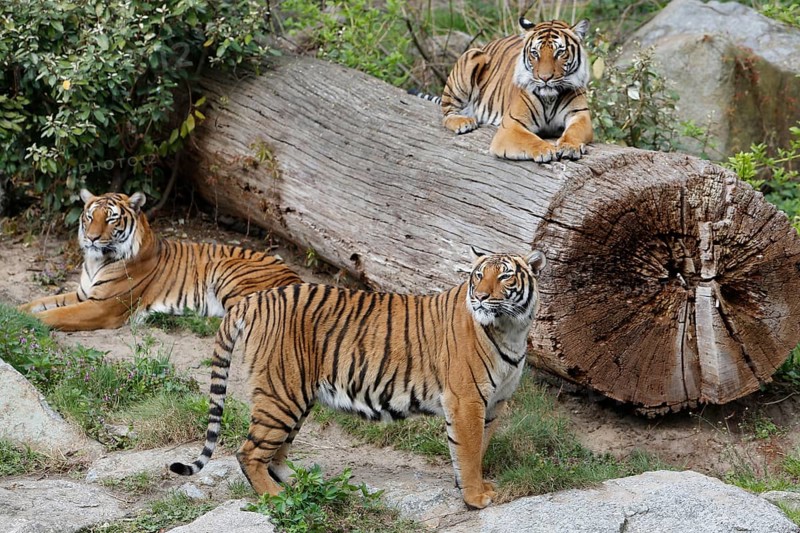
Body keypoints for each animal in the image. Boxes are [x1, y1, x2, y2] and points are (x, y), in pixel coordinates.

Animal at [18, 189, 303, 331]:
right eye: (89, 216)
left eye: (111, 218)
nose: (91, 238)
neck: (95, 261)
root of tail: (296, 276)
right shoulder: (82, 294)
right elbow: (40, 303)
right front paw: (15, 311)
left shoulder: (101, 306)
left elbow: (54, 314)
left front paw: (27, 322)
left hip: (228, 273)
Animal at [170, 247, 546, 509]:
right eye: (478, 275)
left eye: (505, 277)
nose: (481, 297)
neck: (512, 329)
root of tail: (253, 299)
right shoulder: (466, 400)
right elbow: (467, 451)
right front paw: (474, 497)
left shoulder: (495, 402)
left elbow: (479, 448)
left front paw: (476, 487)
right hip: (282, 394)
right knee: (248, 453)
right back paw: (277, 497)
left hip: (296, 397)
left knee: (274, 453)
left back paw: (304, 483)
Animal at [434, 18, 593, 162]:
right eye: (535, 53)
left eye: (560, 52)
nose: (545, 78)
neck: (550, 97)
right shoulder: (511, 126)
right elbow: (530, 139)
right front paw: (546, 149)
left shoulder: (580, 115)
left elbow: (574, 131)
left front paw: (569, 147)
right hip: (472, 55)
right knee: (446, 115)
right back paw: (464, 122)